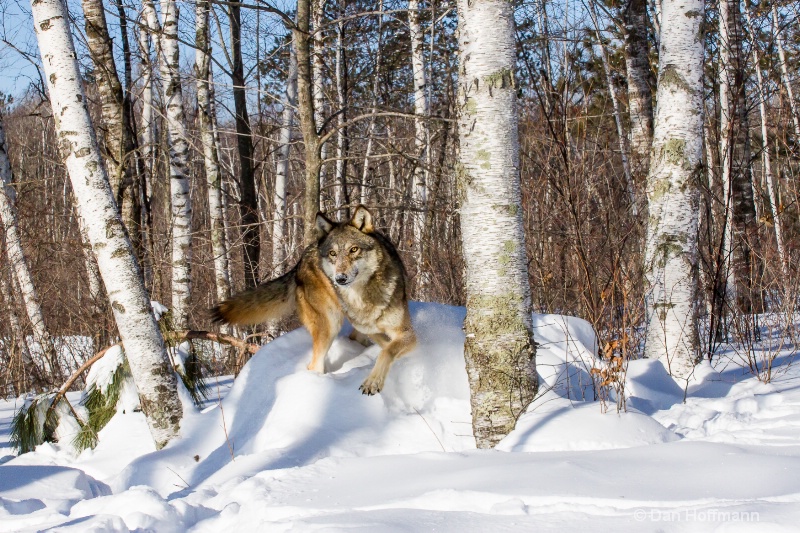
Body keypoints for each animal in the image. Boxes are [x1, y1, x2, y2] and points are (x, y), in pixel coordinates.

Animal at [209, 206, 416, 392]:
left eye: (354, 250)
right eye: (333, 254)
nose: (340, 279)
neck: (363, 297)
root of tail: (300, 262)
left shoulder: (403, 332)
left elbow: (387, 349)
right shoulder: (372, 329)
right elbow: (387, 349)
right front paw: (373, 380)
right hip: (330, 326)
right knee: (314, 365)